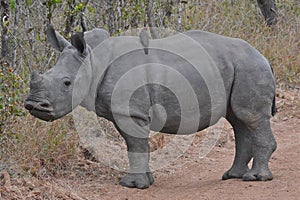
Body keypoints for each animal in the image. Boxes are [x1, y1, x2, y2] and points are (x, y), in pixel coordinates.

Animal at [25, 25, 276, 189]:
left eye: (67, 83)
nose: (32, 104)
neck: (93, 60)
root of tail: (263, 56)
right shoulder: (125, 111)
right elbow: (135, 145)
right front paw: (146, 181)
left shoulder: (129, 111)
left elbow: (135, 145)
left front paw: (132, 185)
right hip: (238, 67)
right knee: (238, 120)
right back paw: (233, 175)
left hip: (249, 66)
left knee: (250, 117)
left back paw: (256, 178)